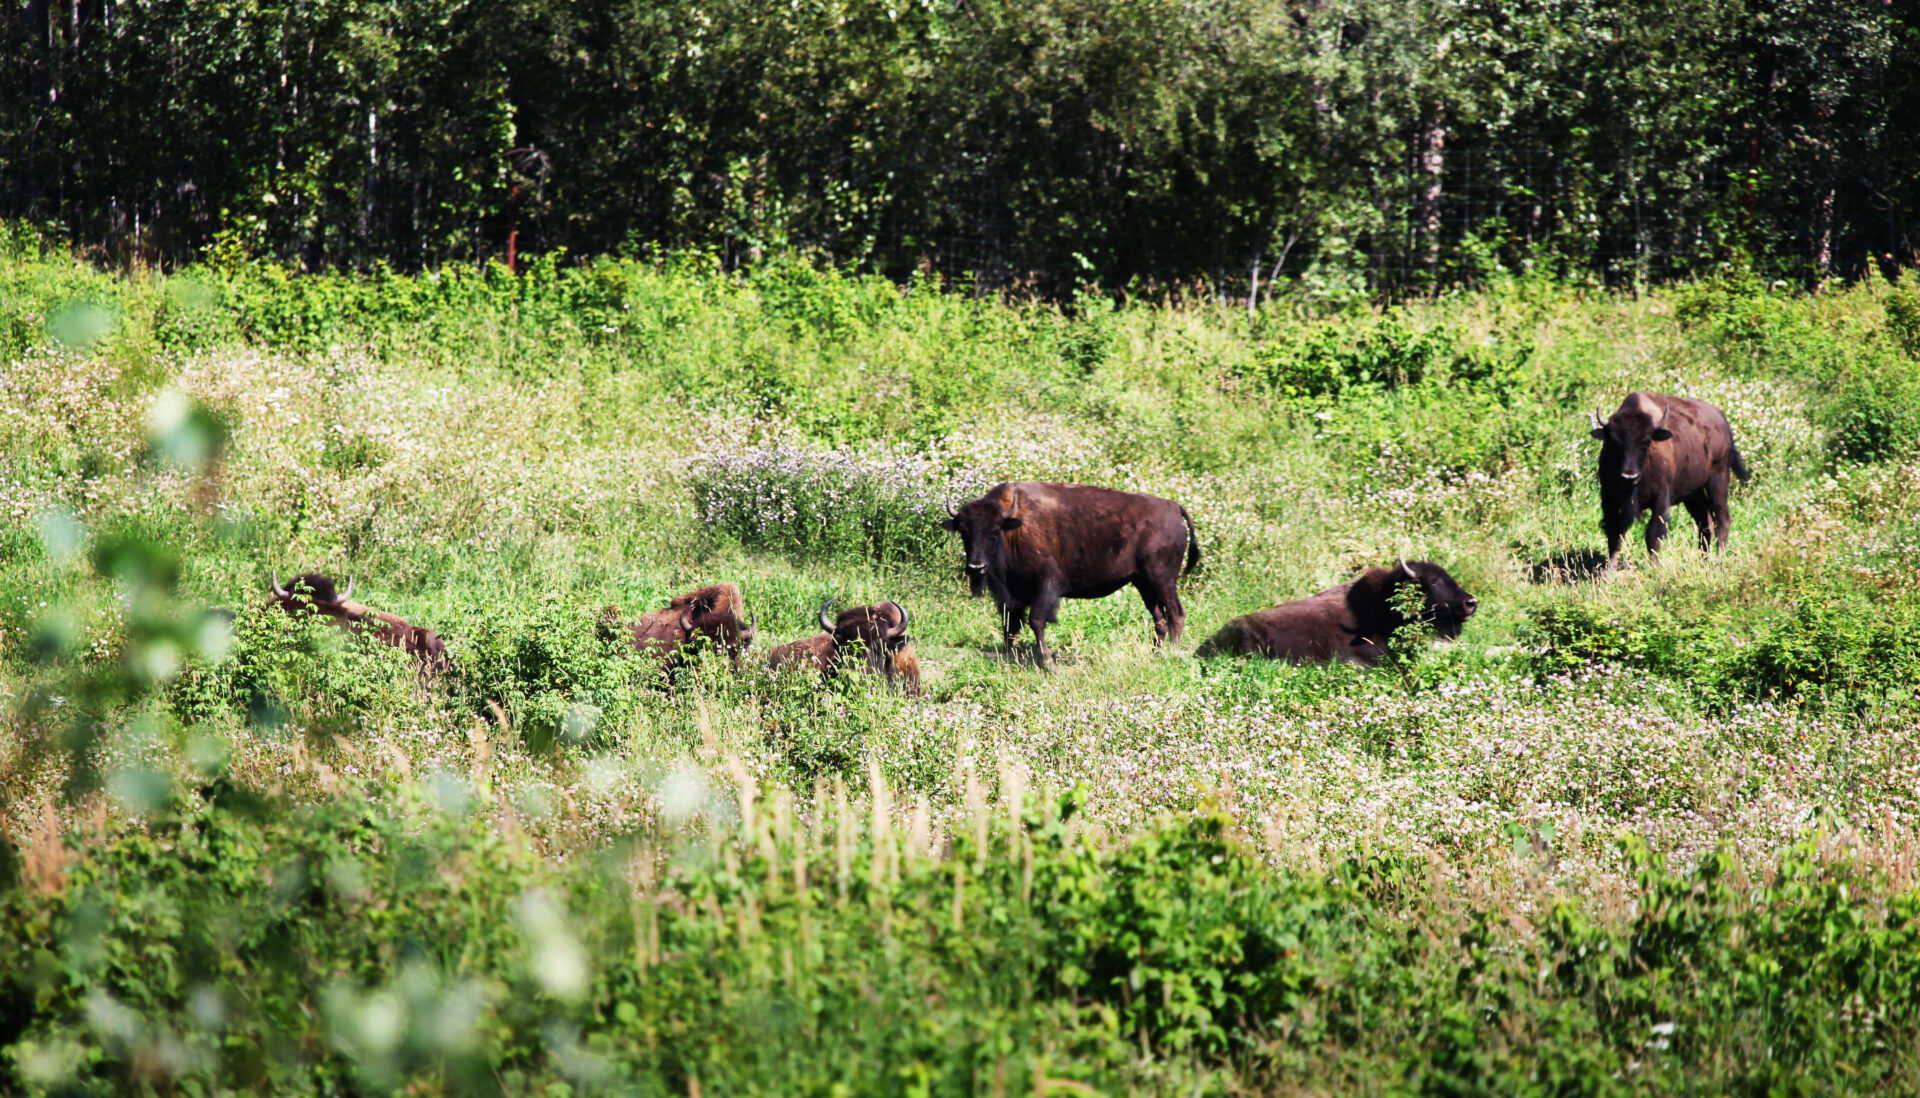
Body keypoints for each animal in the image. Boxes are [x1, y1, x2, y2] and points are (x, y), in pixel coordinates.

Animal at [942, 481, 1199, 668]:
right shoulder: (1011, 594)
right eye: (964, 531)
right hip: (1143, 583)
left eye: (995, 531)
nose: (976, 567)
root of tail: (1175, 508)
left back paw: (1171, 654)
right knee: (1160, 619)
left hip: (1162, 580)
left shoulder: (1045, 585)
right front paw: (1009, 655)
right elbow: (1010, 624)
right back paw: (1155, 655)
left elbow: (1036, 620)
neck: (1014, 525)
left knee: (1176, 614)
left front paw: (1047, 661)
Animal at [1590, 391, 1750, 567]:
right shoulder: (1609, 500)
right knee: (1706, 522)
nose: (1629, 475)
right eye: (1614, 441)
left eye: (1646, 442)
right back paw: (1704, 560)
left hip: (1718, 479)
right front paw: (1609, 570)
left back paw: (1719, 558)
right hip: (1693, 493)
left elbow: (1653, 535)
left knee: (1723, 518)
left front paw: (1655, 567)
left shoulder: (1660, 499)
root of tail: (1720, 417)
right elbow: (1615, 534)